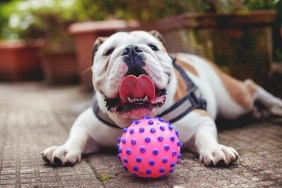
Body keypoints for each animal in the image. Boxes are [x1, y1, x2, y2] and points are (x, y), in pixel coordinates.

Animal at [41, 30, 282, 166]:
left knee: (250, 86)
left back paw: (276, 106)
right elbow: (77, 136)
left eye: (152, 47)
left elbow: (206, 136)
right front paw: (64, 149)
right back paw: (260, 113)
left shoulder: (200, 119)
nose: (131, 49)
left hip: (232, 101)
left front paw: (215, 149)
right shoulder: (85, 124)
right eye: (108, 51)